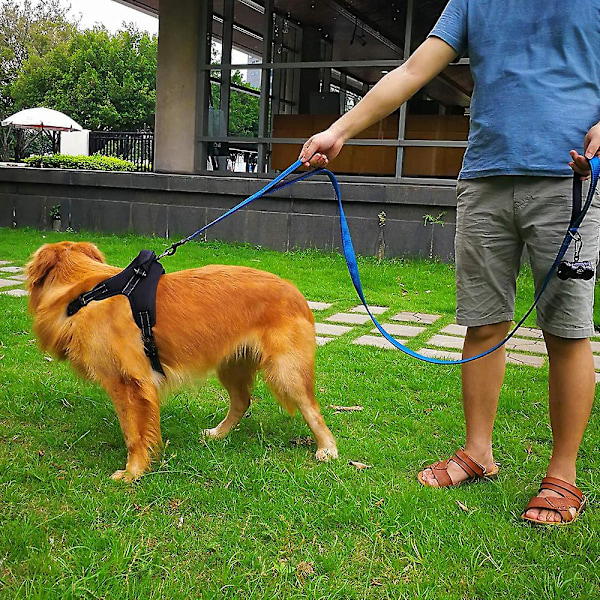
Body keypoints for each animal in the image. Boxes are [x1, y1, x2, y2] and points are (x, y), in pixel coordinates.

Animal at [27, 241, 338, 480]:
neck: (87, 292)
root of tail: (294, 291)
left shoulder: (129, 384)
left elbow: (133, 434)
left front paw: (133, 473)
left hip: (285, 370)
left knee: (311, 408)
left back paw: (327, 448)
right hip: (232, 365)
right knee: (242, 401)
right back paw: (219, 433)